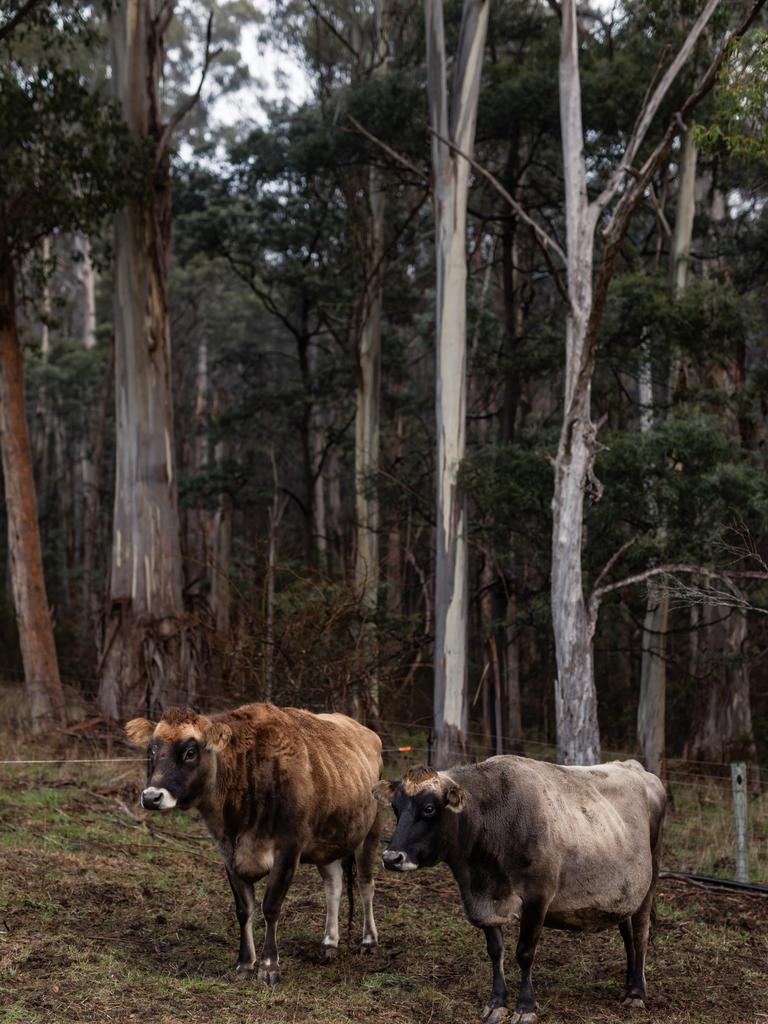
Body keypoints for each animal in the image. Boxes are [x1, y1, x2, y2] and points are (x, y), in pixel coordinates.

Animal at [125, 704, 385, 983]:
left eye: (190, 752)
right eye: (152, 750)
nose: (151, 797)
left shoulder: (288, 849)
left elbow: (270, 906)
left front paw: (269, 965)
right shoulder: (228, 852)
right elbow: (244, 909)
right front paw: (245, 963)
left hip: (370, 832)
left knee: (366, 885)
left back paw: (369, 941)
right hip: (326, 844)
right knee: (333, 886)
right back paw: (329, 943)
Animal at [376, 753, 667, 1024]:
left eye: (428, 808)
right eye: (395, 808)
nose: (391, 857)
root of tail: (634, 767)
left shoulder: (538, 898)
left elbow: (525, 952)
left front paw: (525, 1007)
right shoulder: (483, 903)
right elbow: (495, 951)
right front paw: (497, 1003)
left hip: (650, 881)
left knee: (640, 934)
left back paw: (637, 993)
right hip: (625, 892)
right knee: (627, 933)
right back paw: (629, 983)